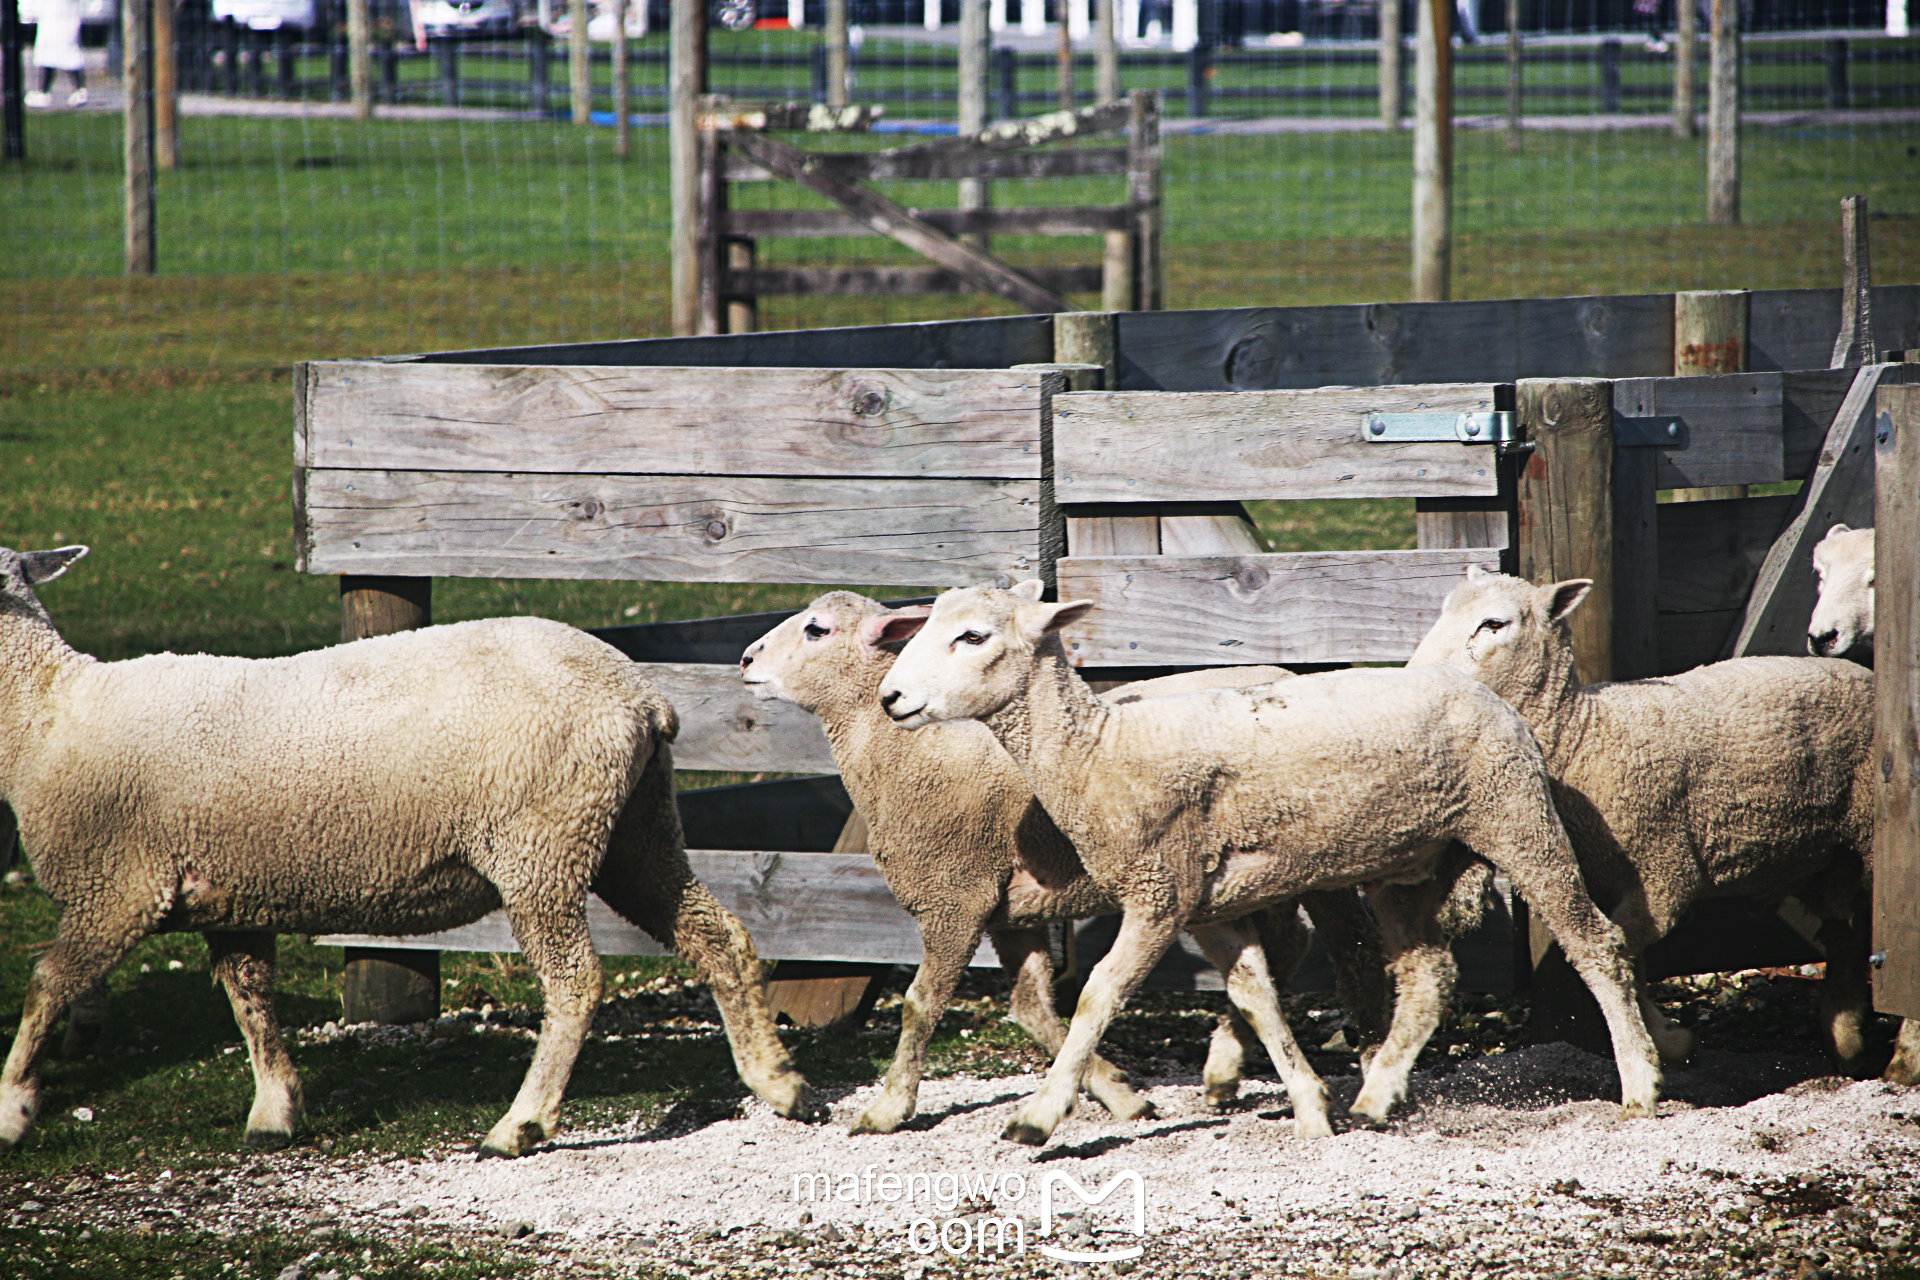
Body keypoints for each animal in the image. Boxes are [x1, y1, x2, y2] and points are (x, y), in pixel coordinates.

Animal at [0, 545, 814, 1159]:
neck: (46, 711)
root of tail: (642, 696)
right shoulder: (228, 893)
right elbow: (250, 1000)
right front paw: (275, 1110)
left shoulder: (117, 886)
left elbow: (49, 985)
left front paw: (13, 1107)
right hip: (634, 829)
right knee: (717, 936)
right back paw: (778, 1081)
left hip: (542, 842)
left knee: (576, 982)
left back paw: (519, 1126)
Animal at [741, 591, 1390, 1128]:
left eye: (816, 629)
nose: (745, 659)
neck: (906, 753)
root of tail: (1282, 671)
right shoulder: (1010, 913)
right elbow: (1032, 1011)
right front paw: (1119, 1092)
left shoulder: (956, 898)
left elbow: (920, 1008)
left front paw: (888, 1108)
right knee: (1285, 948)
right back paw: (1229, 1065)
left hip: (1316, 857)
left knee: (1348, 946)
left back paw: (1363, 1052)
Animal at [879, 579, 1658, 1143]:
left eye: (973, 636)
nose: (890, 697)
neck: (1098, 751)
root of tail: (1481, 691)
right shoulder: (1206, 908)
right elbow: (1258, 999)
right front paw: (1313, 1109)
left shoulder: (1159, 894)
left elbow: (1099, 995)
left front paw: (1038, 1117)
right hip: (1407, 866)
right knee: (1428, 975)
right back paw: (1375, 1097)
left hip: (1517, 818)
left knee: (1596, 943)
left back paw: (1640, 1086)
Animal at [1405, 564, 1912, 1090]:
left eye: (1494, 624)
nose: (1416, 680)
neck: (1585, 732)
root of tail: (1866, 674)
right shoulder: (1611, 879)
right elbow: (1628, 957)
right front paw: (1668, 1039)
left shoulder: (1664, 871)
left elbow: (1623, 950)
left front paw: (1663, 1042)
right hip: (1829, 857)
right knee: (1846, 933)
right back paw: (1848, 1040)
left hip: (1867, 833)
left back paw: (1901, 1058)